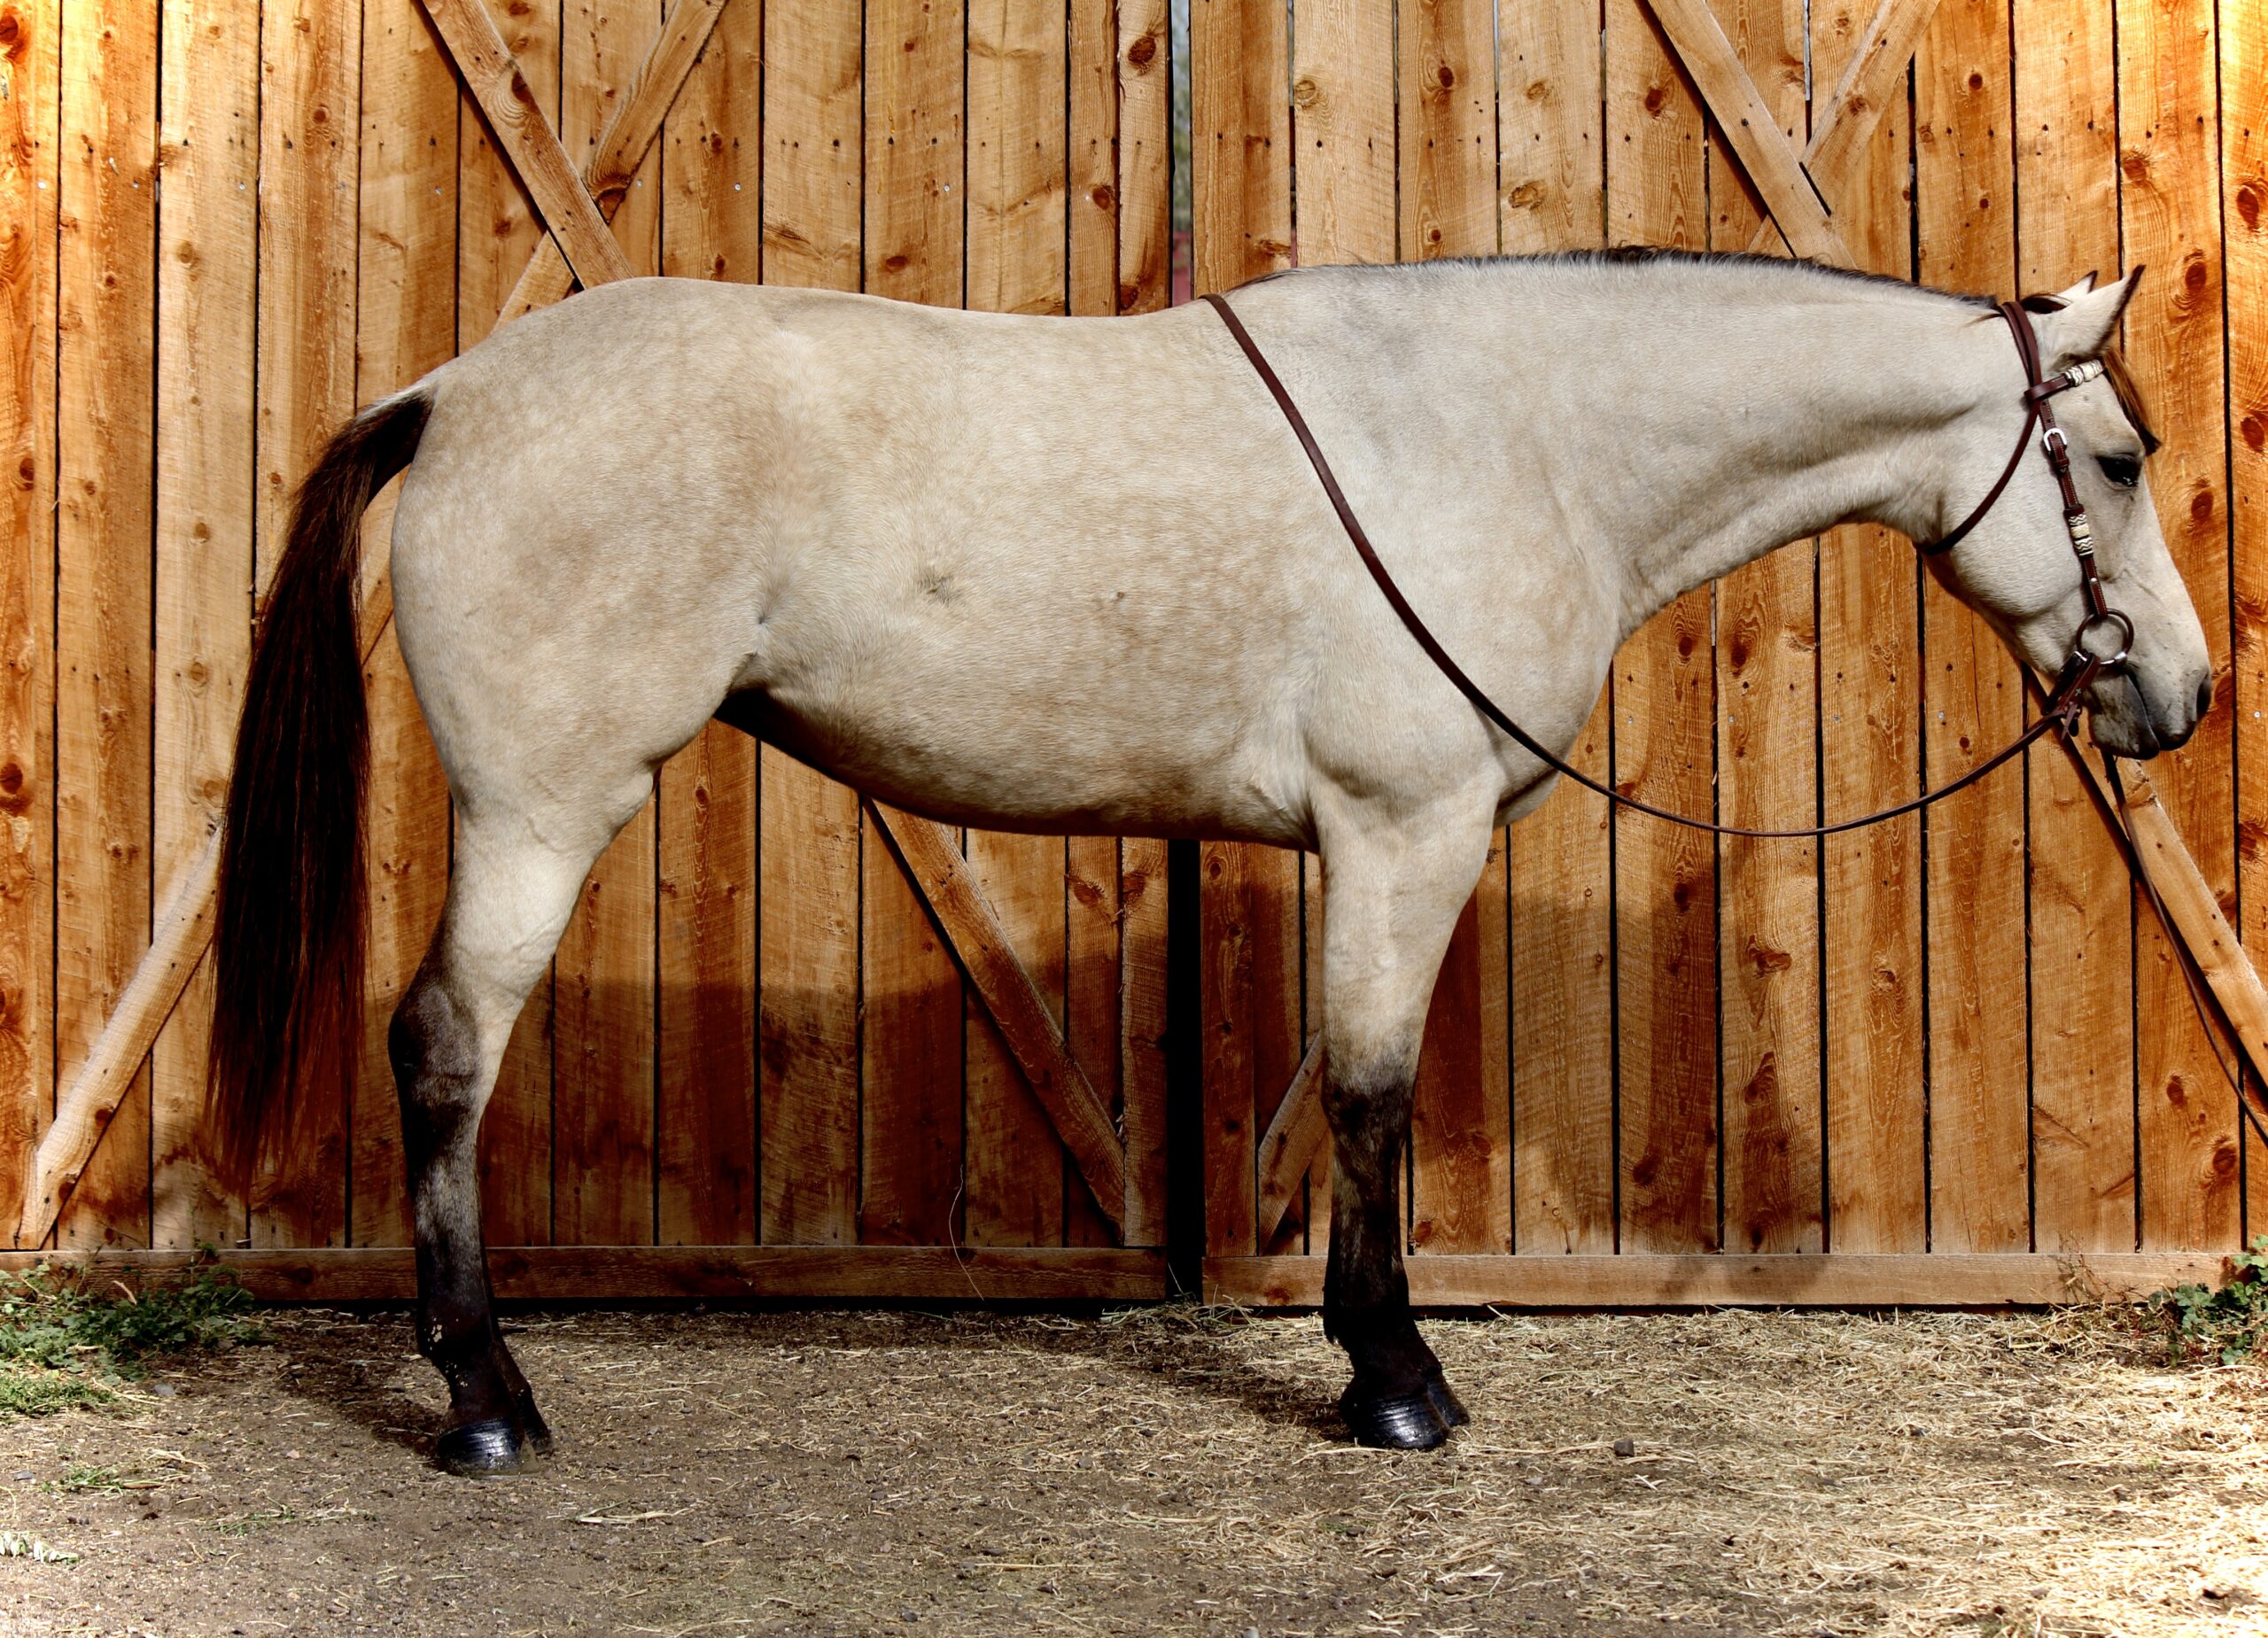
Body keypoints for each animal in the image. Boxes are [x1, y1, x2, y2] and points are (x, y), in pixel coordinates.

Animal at [204, 250, 2209, 1473]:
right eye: (2114, 458)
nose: (2177, 696)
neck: (1514, 432)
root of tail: (453, 392)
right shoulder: (1402, 828)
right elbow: (1373, 1090)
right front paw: (1394, 1380)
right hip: (543, 807)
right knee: (444, 1049)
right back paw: (485, 1400)